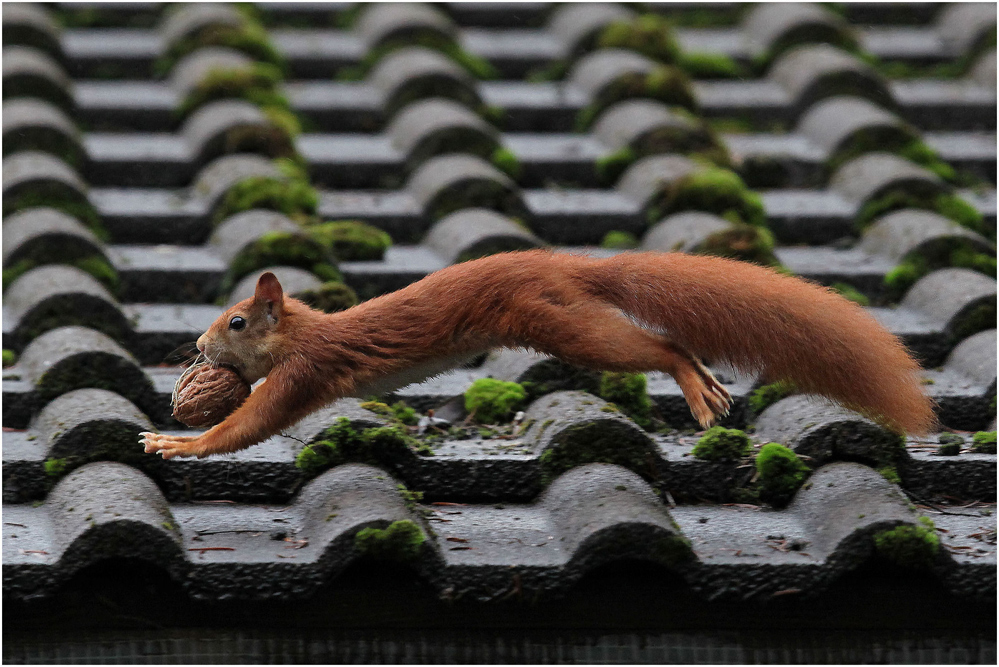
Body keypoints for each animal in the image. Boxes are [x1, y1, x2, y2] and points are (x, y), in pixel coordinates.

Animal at [141, 250, 935, 459]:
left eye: (236, 321)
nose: (199, 347)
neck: (306, 330)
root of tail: (566, 263)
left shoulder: (307, 372)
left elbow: (254, 423)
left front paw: (181, 443)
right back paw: (707, 384)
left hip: (567, 326)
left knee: (661, 345)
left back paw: (693, 383)